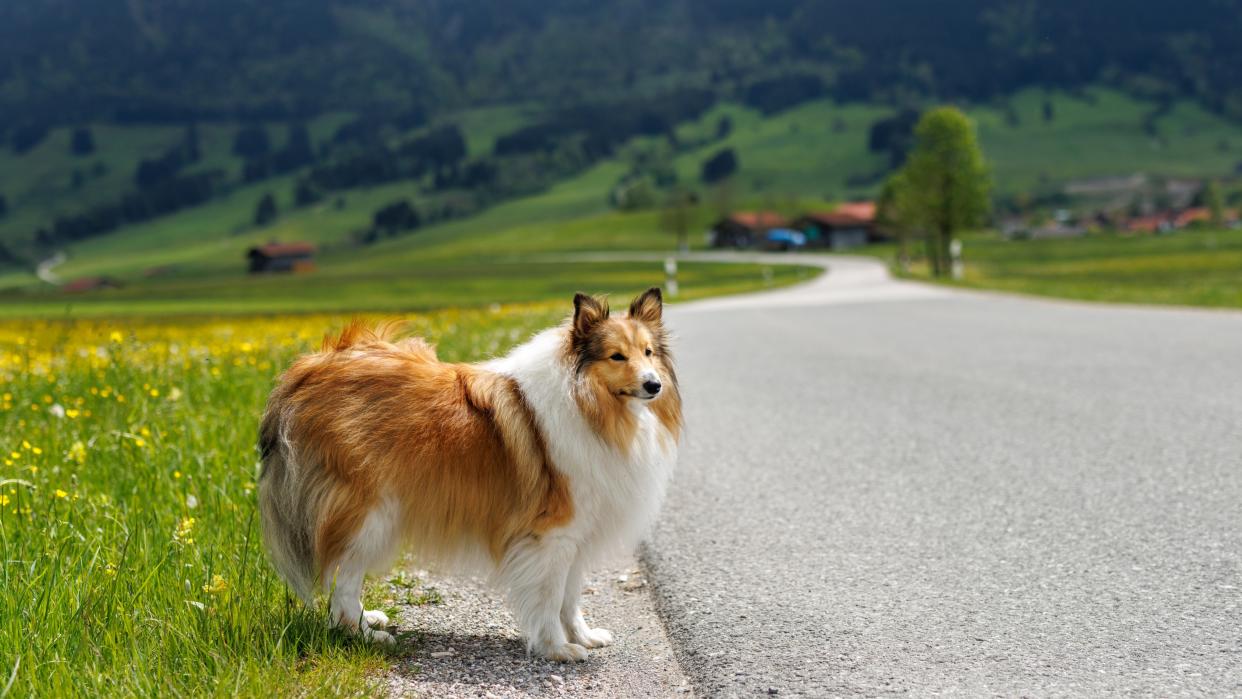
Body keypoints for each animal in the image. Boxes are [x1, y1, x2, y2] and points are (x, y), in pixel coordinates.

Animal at [253, 288, 680, 660]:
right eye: (616, 356)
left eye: (648, 352)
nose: (653, 385)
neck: (588, 402)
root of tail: (305, 369)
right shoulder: (552, 534)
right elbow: (549, 596)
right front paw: (556, 649)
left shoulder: (578, 534)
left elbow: (570, 598)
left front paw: (583, 637)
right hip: (371, 512)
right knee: (342, 575)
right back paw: (362, 634)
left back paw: (366, 620)